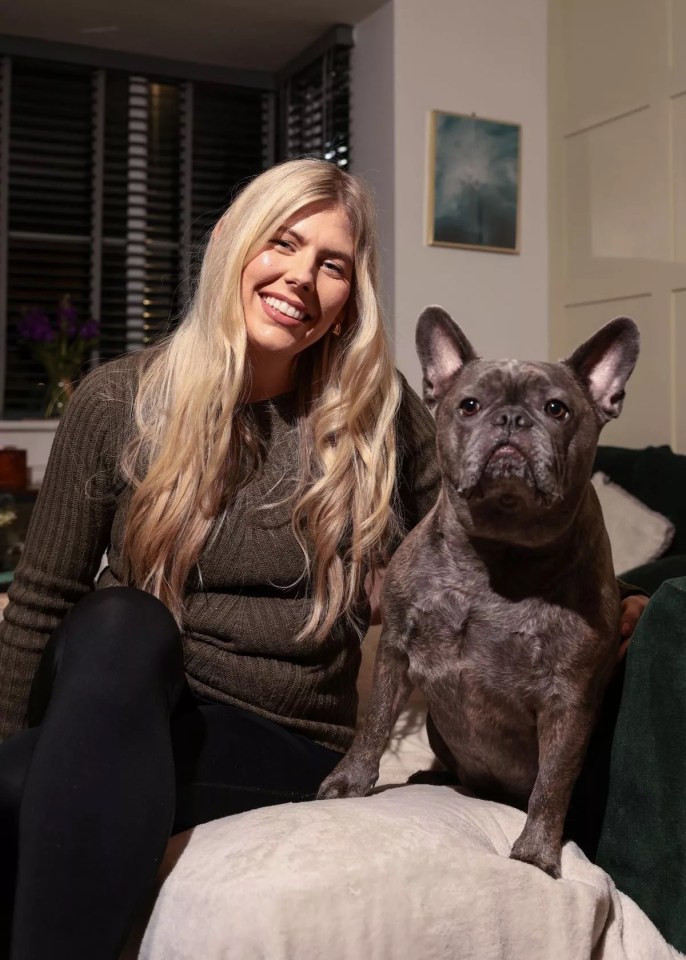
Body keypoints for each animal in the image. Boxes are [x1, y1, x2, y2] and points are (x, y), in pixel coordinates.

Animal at [320, 308, 644, 876]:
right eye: (469, 405)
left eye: (556, 409)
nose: (512, 419)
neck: (497, 550)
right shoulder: (396, 653)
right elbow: (374, 725)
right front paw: (350, 782)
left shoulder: (569, 701)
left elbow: (552, 783)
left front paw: (536, 854)